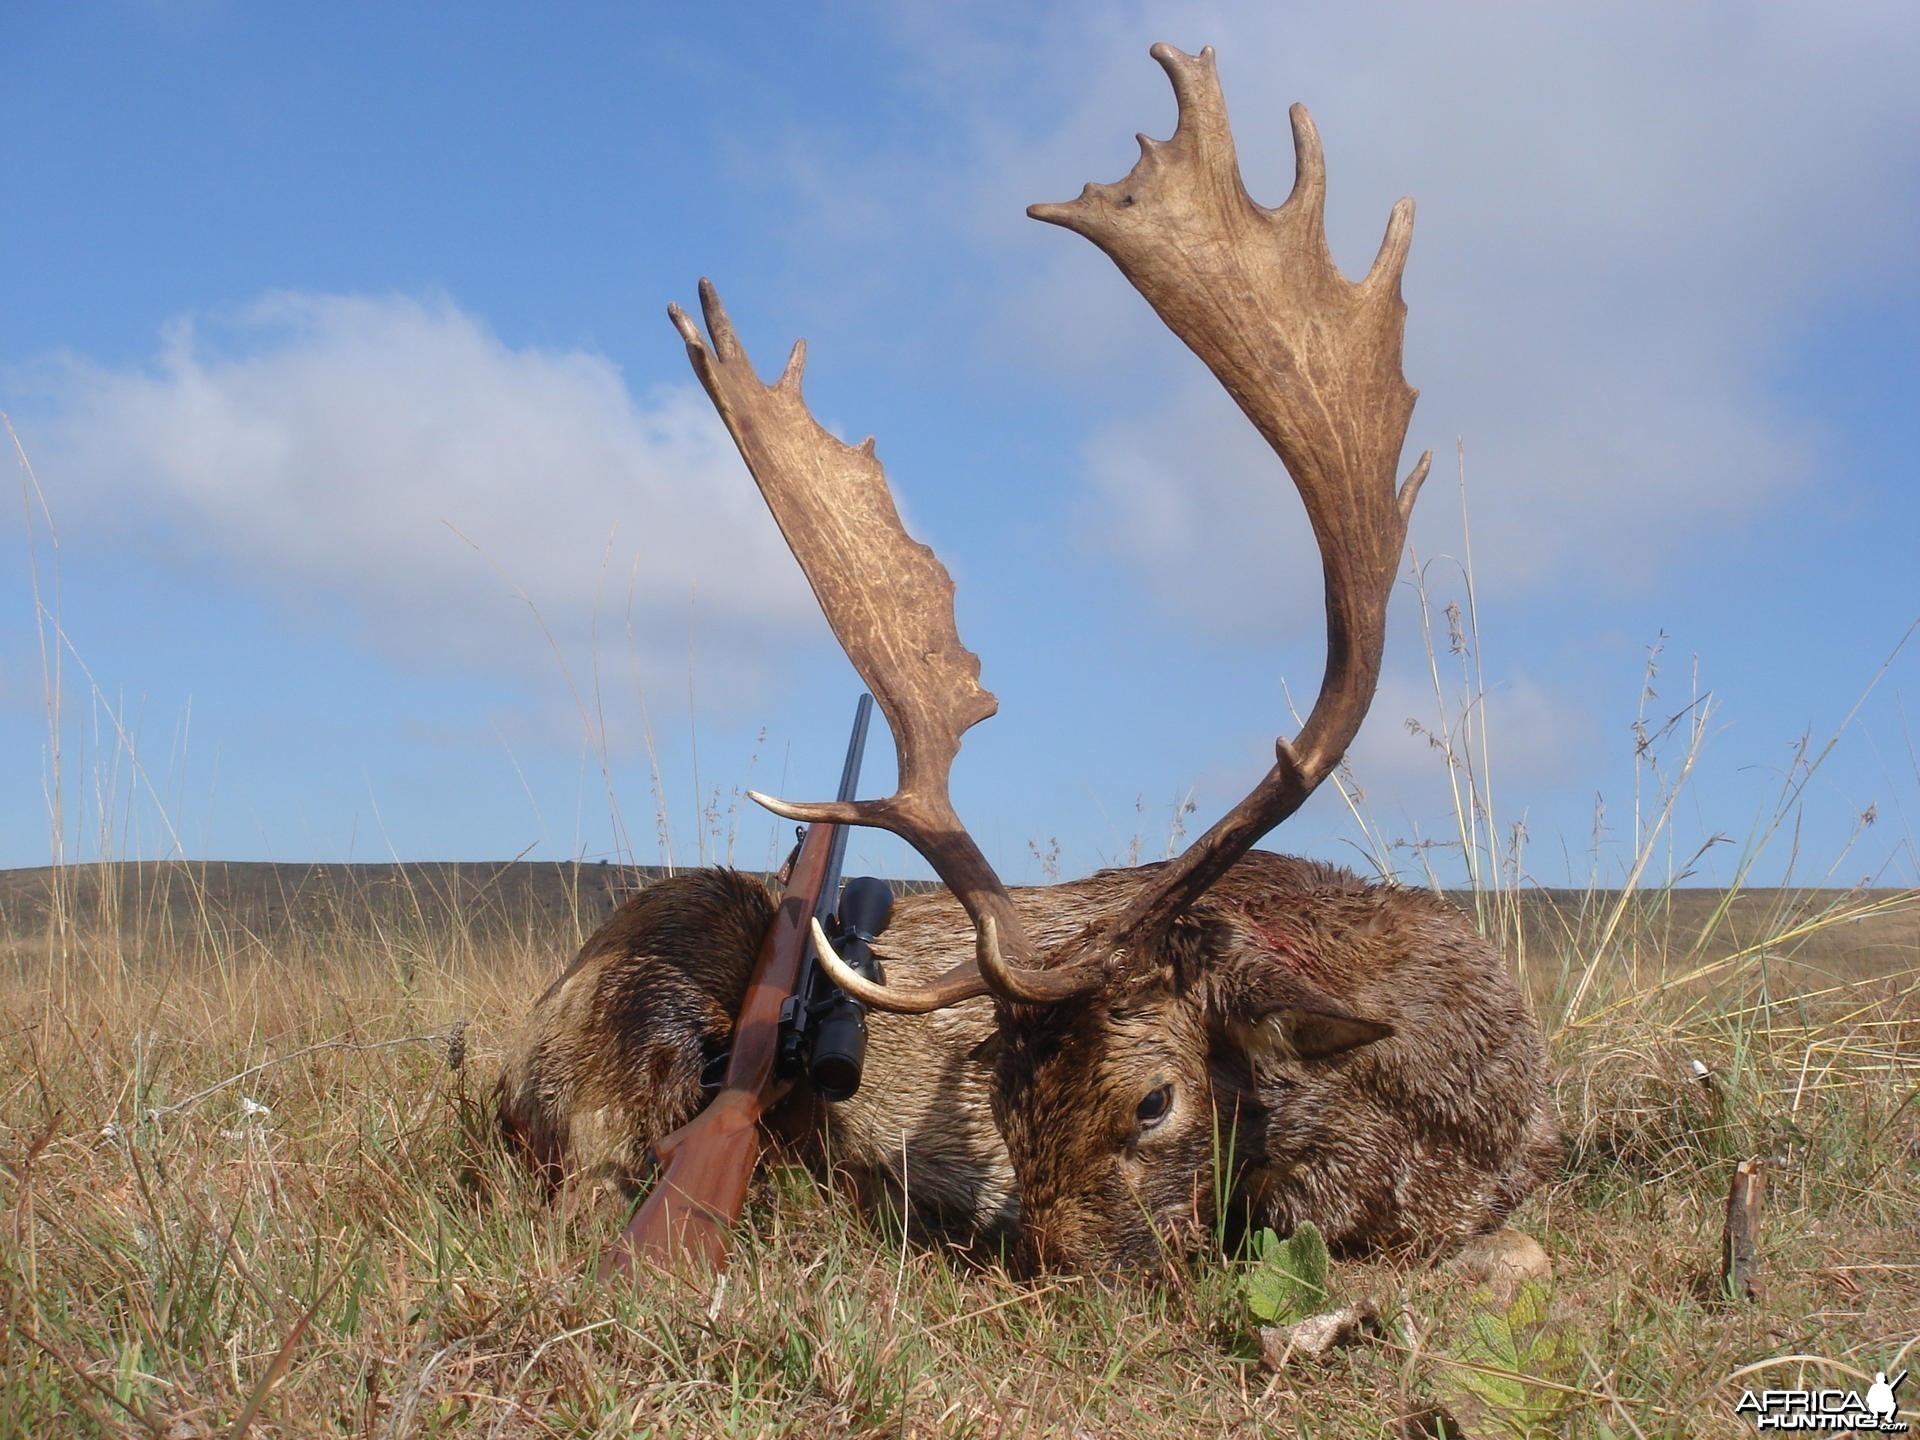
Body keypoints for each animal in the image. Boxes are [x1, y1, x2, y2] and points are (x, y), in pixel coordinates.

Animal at [499, 45, 1559, 1282]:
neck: (1443, 1124)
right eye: (1003, 1105)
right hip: (655, 987)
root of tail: (512, 1060)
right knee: (595, 1180)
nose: (1066, 1278)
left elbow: (1517, 1250)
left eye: (1154, 1101)